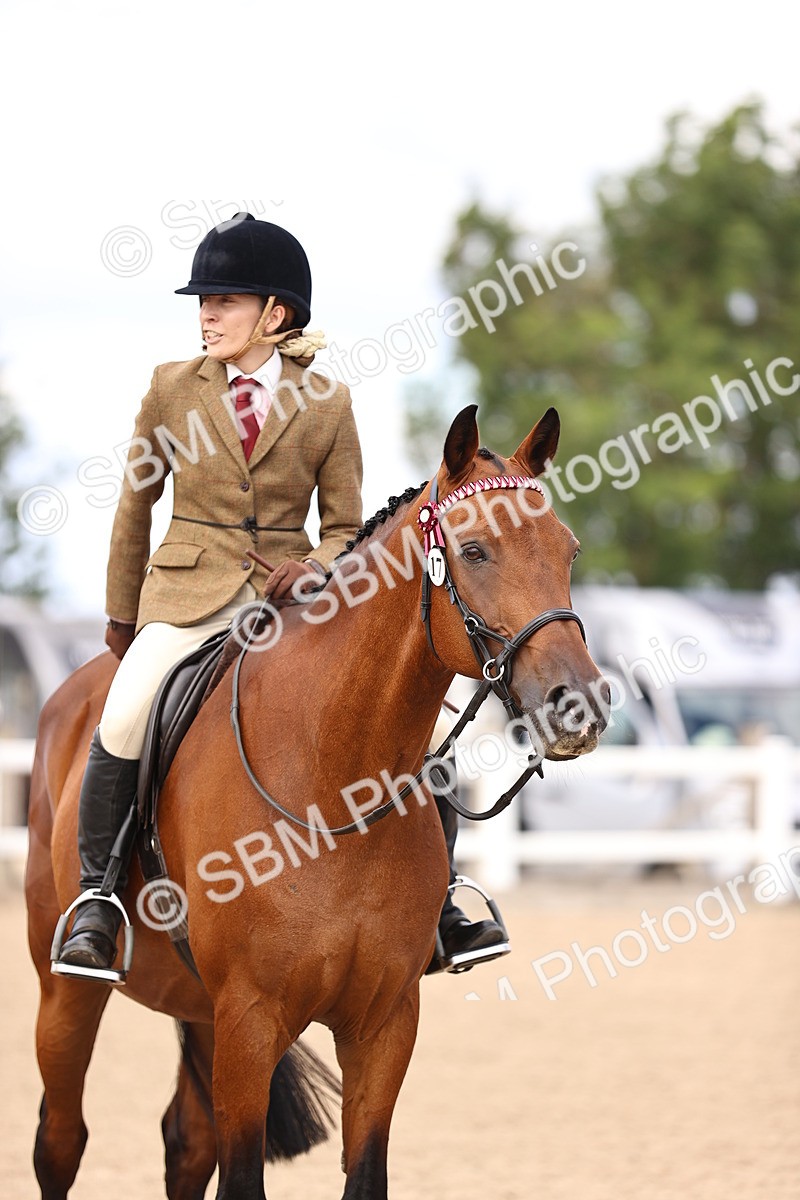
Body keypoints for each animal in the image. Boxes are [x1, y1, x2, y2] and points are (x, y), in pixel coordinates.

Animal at [25, 404, 609, 1199]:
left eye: (568, 551)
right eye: (476, 551)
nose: (578, 705)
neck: (333, 776)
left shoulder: (384, 1024)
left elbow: (363, 1175)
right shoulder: (250, 1019)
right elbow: (241, 1178)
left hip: (200, 1010)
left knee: (186, 1143)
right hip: (70, 996)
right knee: (61, 1139)